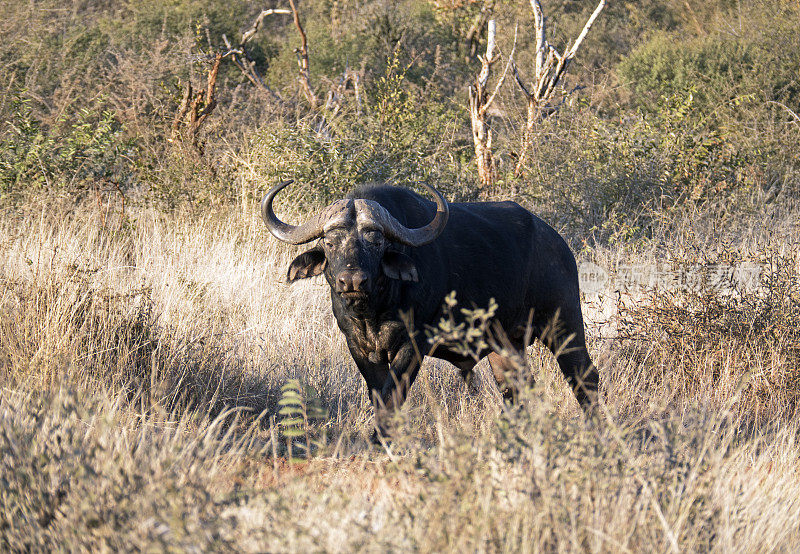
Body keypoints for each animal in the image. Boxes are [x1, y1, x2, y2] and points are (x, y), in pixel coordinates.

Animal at [264, 181, 600, 436]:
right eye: (330, 242)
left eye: (376, 242)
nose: (352, 281)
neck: (374, 310)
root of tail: (556, 243)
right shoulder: (358, 346)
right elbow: (378, 394)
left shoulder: (413, 345)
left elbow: (392, 395)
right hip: (505, 344)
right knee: (516, 388)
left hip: (563, 324)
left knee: (584, 376)